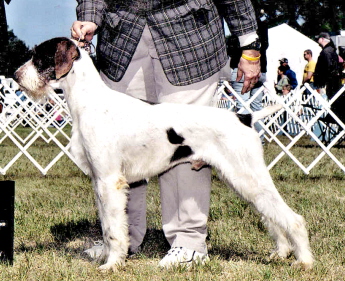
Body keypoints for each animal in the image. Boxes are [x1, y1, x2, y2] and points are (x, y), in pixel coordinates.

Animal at [14, 38, 314, 270]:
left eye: (39, 57)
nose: (16, 75)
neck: (90, 101)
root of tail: (244, 117)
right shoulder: (100, 182)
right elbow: (108, 226)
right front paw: (108, 256)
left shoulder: (109, 181)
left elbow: (113, 230)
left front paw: (111, 264)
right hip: (244, 182)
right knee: (271, 217)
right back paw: (281, 252)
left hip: (249, 178)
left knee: (294, 219)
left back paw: (304, 261)